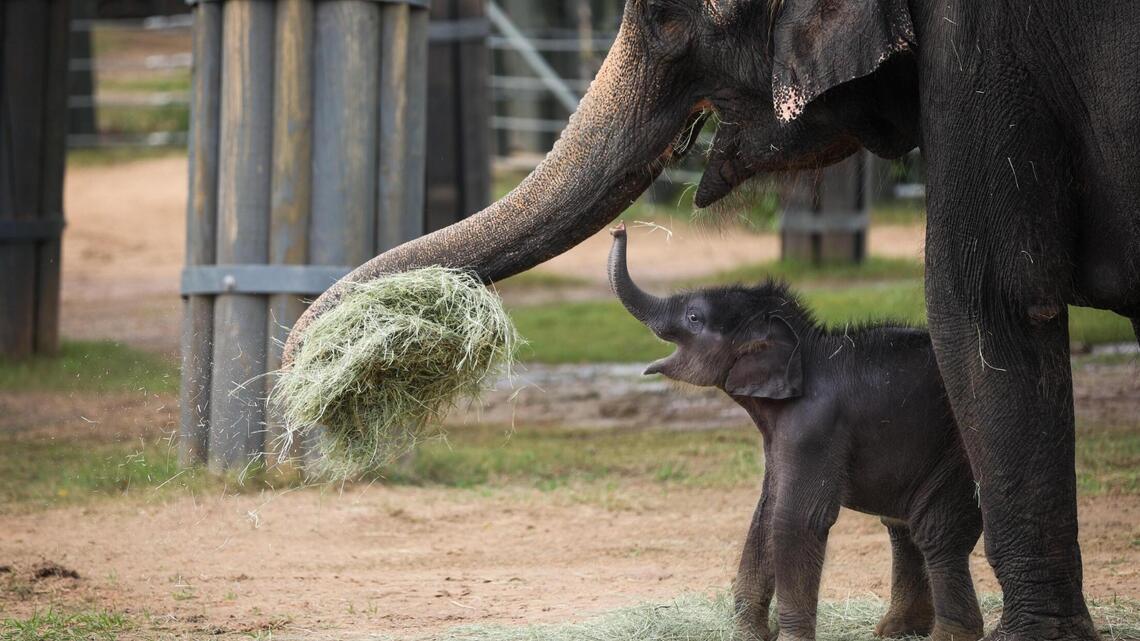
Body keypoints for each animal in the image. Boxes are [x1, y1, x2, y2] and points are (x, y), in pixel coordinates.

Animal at [609, 223, 984, 641]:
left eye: (693, 317)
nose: (619, 228)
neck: (804, 347)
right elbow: (766, 512)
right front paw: (750, 635)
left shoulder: (813, 427)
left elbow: (796, 519)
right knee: (901, 527)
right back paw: (896, 630)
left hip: (960, 452)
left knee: (936, 532)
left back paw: (946, 634)